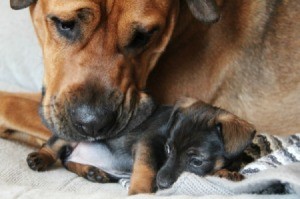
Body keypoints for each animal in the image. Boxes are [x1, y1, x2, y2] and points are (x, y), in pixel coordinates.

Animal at [26, 98, 255, 194]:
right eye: (168, 149)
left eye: (197, 161)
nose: (162, 184)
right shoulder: (149, 143)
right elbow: (147, 168)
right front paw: (140, 192)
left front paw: (227, 173)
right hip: (68, 137)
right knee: (52, 148)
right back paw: (39, 158)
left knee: (68, 162)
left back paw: (92, 171)